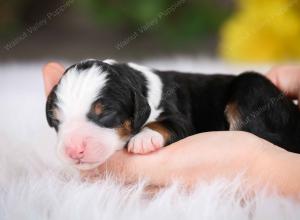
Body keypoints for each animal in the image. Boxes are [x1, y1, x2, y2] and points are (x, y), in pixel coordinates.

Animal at [44, 58, 300, 170]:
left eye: (105, 113)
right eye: (56, 120)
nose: (73, 150)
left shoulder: (179, 116)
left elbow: (166, 124)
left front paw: (144, 139)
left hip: (252, 87)